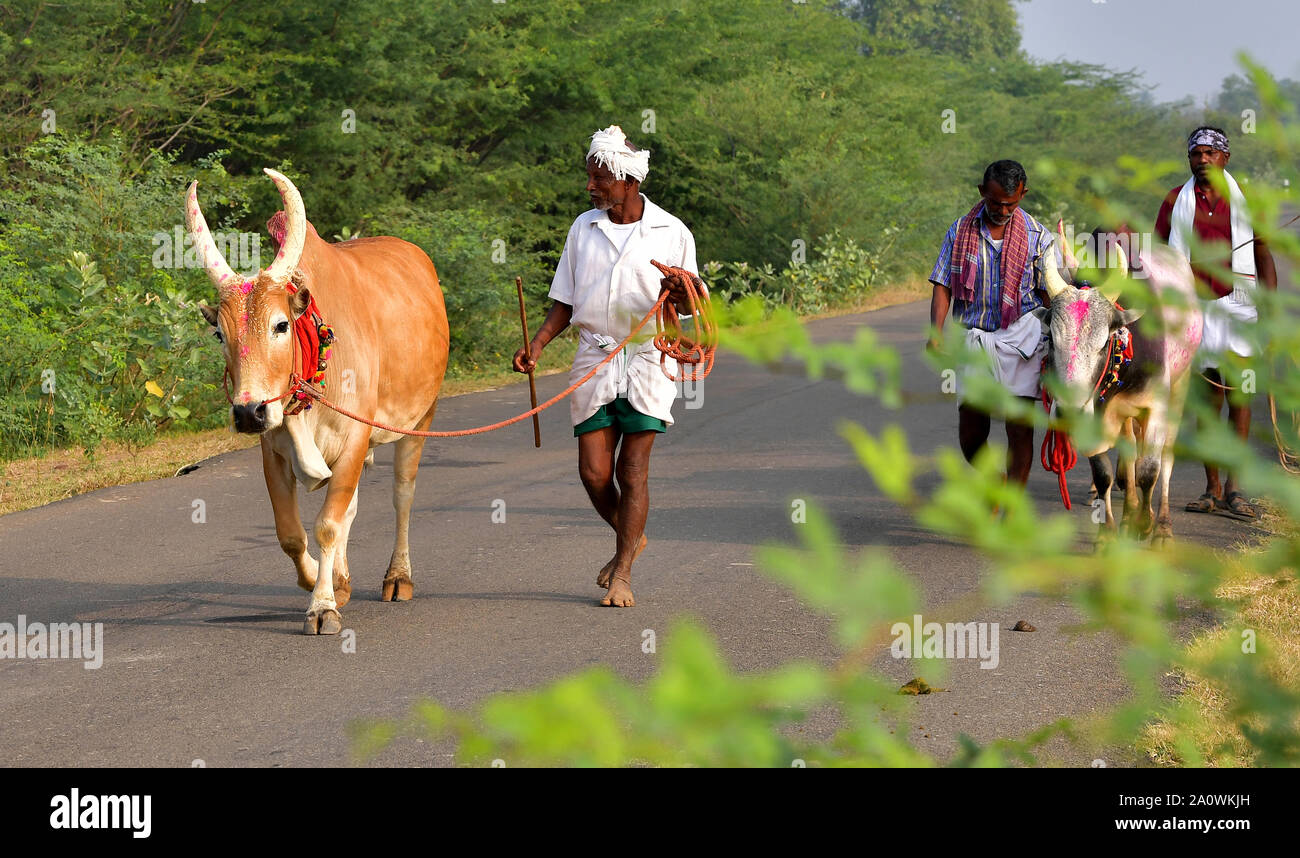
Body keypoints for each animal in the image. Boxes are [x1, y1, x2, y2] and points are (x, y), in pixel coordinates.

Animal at [185, 170, 452, 634]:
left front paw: (322, 606)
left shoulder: (356, 438)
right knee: (352, 510)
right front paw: (321, 582)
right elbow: (292, 534)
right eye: (219, 333)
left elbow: (327, 524)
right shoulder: (272, 451)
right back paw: (341, 578)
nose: (249, 411)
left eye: (280, 325)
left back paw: (398, 577)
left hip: (420, 418)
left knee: (402, 495)